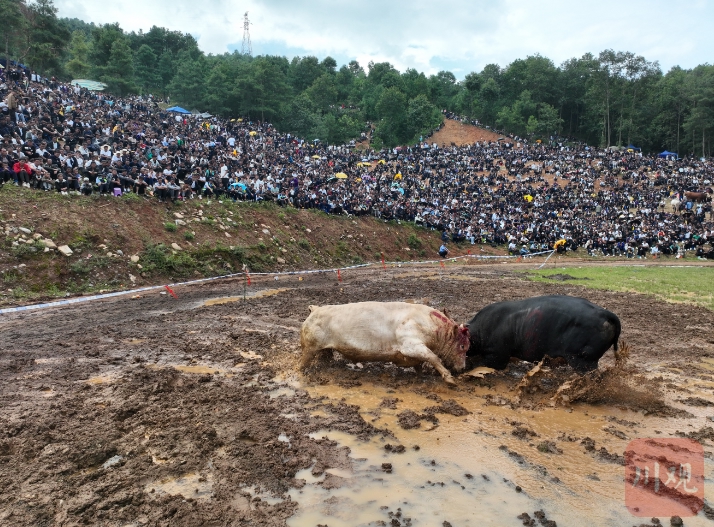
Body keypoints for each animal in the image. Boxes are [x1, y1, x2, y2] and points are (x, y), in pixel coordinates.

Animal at [298, 304, 470, 386]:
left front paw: (421, 375)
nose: (462, 368)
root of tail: (315, 309)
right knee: (302, 363)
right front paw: (451, 381)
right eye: (462, 346)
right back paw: (302, 374)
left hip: (324, 349)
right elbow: (433, 357)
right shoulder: (410, 343)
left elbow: (420, 364)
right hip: (310, 346)